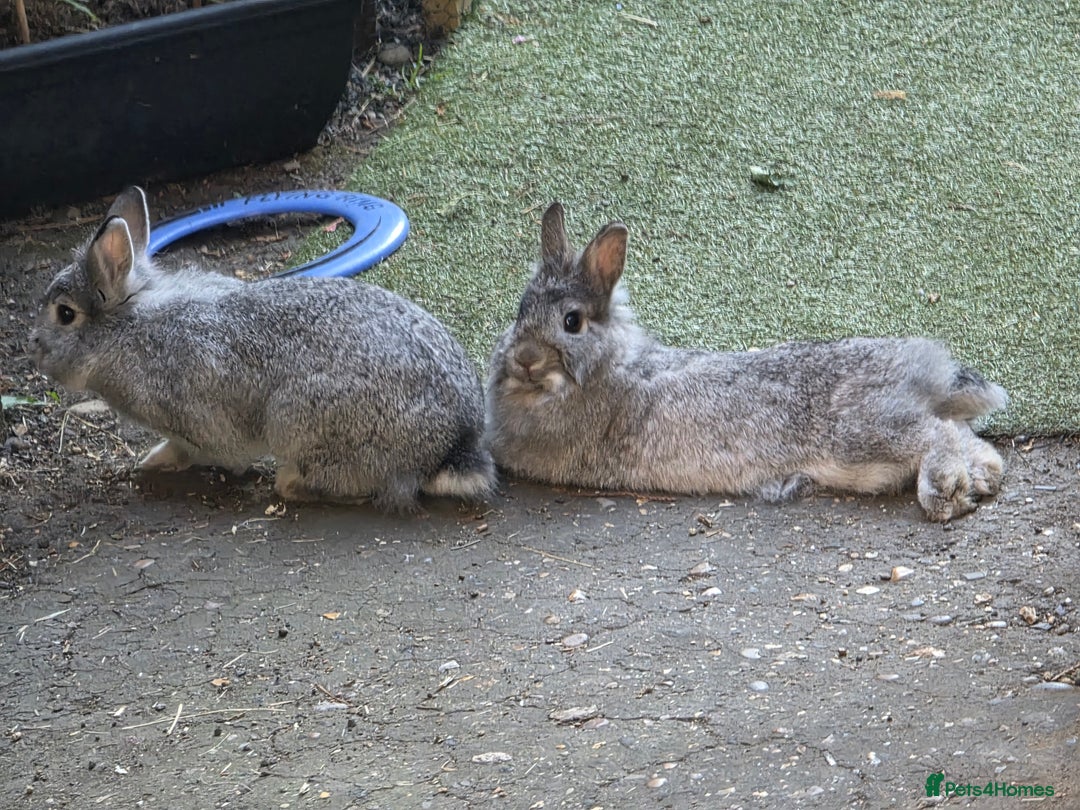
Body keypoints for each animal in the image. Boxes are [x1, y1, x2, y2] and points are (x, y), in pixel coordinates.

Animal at [27, 186, 494, 513]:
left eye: (65, 314)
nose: (35, 351)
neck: (128, 328)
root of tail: (452, 447)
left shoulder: (195, 421)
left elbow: (203, 451)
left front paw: (156, 460)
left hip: (298, 418)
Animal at [485, 202, 1007, 522]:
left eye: (571, 322)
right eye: (519, 312)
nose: (525, 360)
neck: (610, 366)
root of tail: (925, 369)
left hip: (863, 434)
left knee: (935, 434)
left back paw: (945, 490)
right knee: (962, 435)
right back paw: (982, 478)